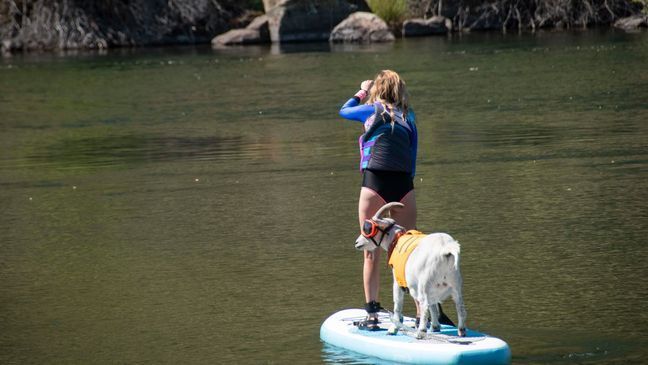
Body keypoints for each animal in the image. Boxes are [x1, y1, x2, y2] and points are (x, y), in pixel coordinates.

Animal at [354, 200, 466, 336]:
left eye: (368, 228)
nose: (357, 243)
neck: (396, 239)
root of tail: (446, 249)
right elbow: (434, 306)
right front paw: (435, 327)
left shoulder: (398, 282)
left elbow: (397, 306)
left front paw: (393, 329)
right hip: (455, 284)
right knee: (459, 306)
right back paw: (461, 331)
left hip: (425, 284)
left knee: (424, 305)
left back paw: (421, 332)